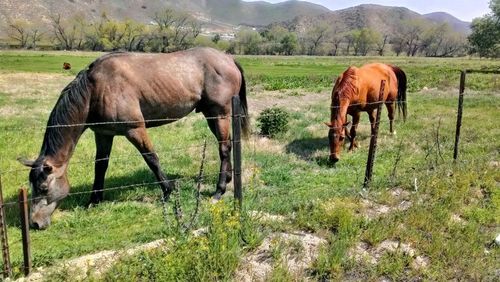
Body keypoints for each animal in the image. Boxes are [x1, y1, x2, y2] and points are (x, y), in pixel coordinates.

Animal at [20, 47, 250, 229]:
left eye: (43, 188)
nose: (35, 223)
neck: (96, 89)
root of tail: (228, 58)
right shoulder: (103, 134)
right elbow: (100, 165)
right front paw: (95, 199)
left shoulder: (135, 130)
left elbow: (152, 159)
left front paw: (167, 191)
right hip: (211, 115)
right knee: (226, 145)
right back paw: (228, 179)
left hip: (219, 113)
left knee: (223, 148)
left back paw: (219, 191)